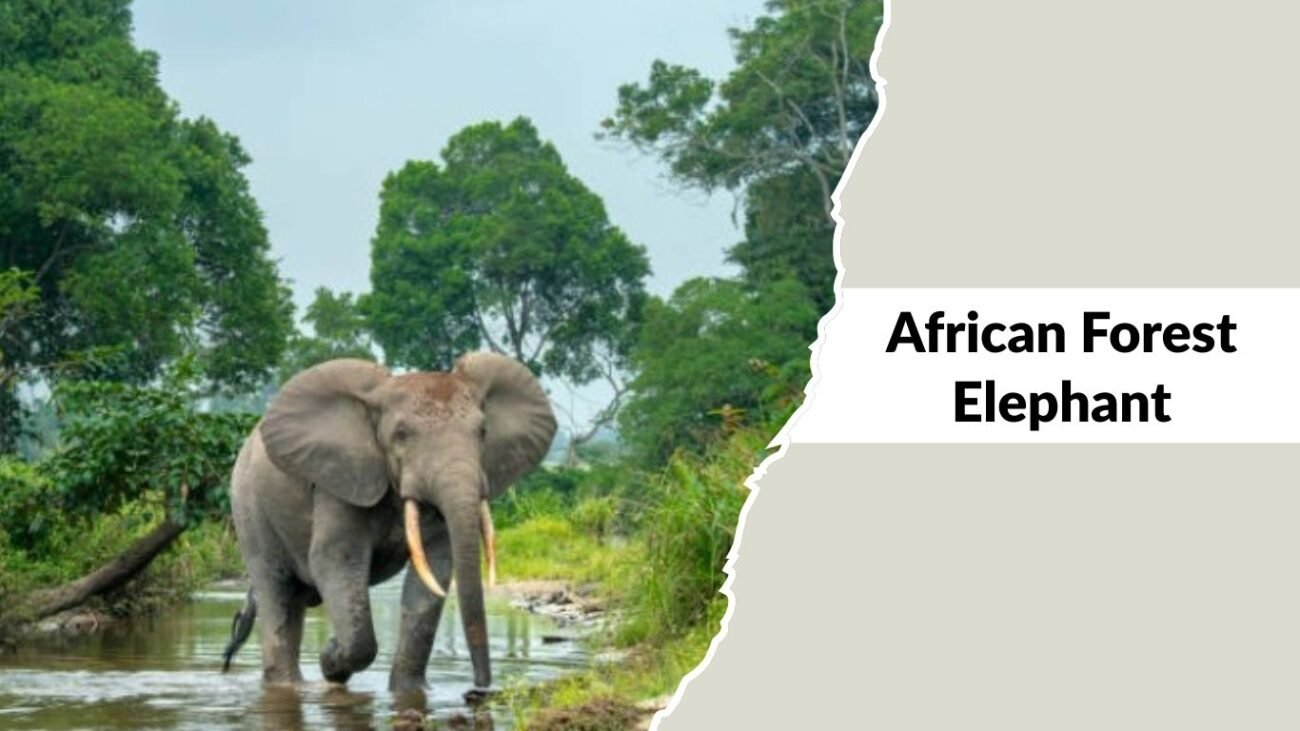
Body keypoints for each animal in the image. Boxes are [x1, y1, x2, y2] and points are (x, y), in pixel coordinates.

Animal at [219, 352, 556, 695]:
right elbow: (335, 558)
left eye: (483, 432)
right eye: (401, 435)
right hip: (247, 505)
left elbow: (434, 571)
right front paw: (331, 660)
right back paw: (287, 686)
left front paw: (410, 693)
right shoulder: (340, 478)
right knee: (276, 591)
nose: (480, 688)